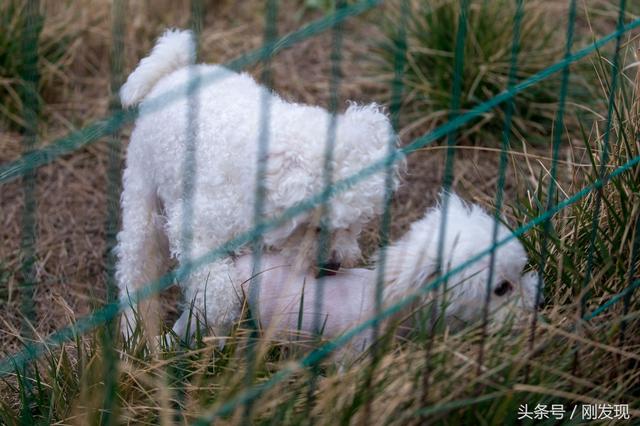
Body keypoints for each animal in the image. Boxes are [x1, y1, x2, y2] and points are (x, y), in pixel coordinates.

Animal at [112, 30, 398, 340]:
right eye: (313, 225)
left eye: (355, 223)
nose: (332, 266)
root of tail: (175, 72)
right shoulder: (194, 227)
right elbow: (220, 294)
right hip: (143, 196)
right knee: (135, 269)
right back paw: (135, 331)